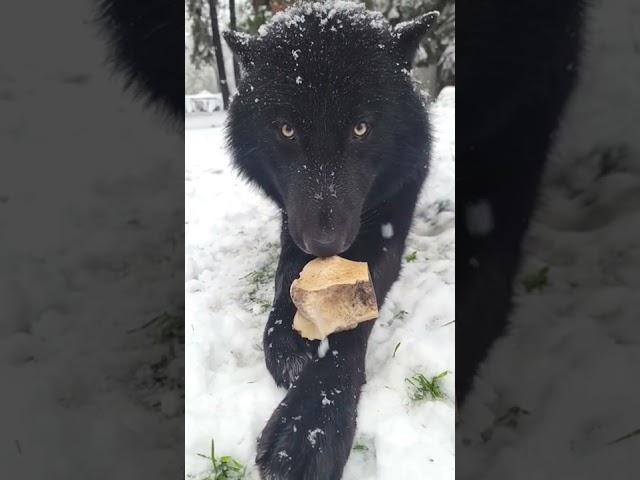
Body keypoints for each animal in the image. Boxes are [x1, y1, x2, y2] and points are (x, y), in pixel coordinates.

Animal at [222, 3, 438, 480]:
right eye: (286, 130)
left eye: (361, 128)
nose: (324, 244)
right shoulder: (292, 220)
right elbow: (286, 274)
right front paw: (284, 338)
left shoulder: (389, 220)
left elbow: (353, 319)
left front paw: (309, 427)